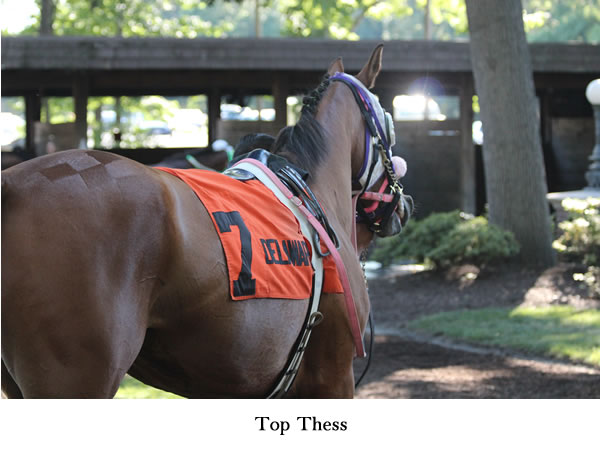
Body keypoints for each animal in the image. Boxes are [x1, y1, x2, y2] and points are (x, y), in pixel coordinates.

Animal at [1, 45, 412, 398]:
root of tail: (12, 186)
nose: (403, 203)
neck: (312, 187)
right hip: (75, 377)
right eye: (390, 126)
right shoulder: (333, 376)